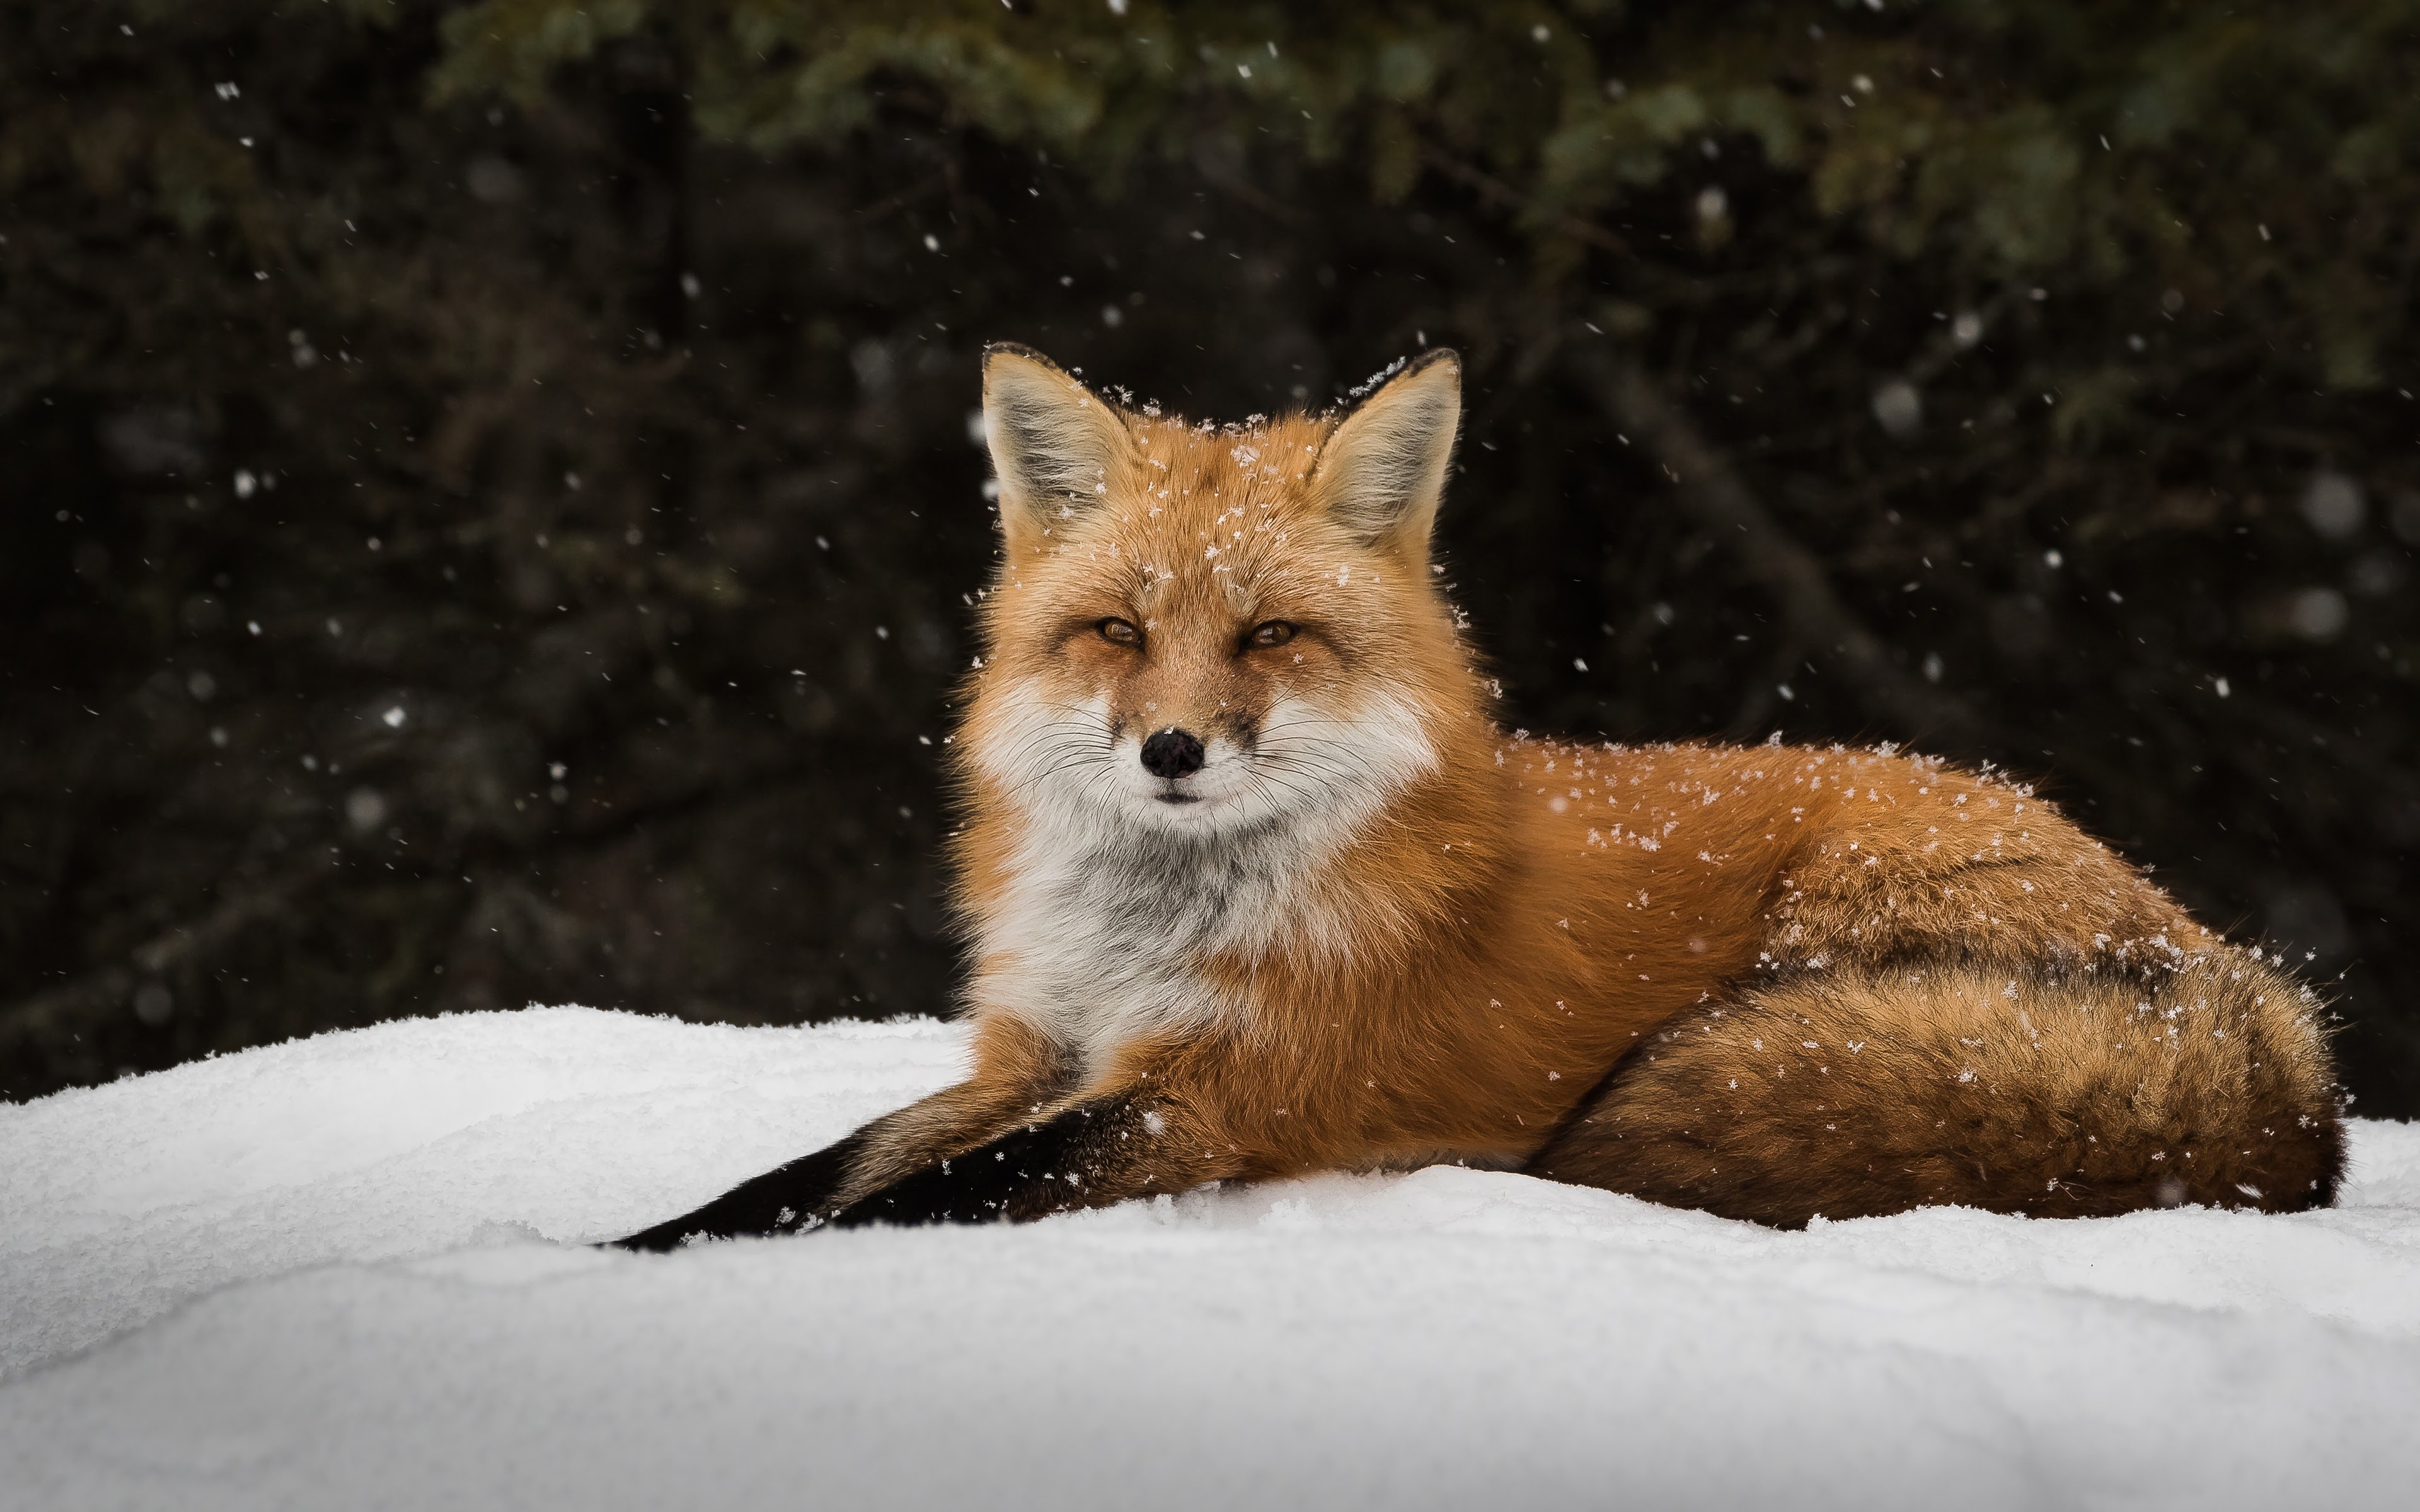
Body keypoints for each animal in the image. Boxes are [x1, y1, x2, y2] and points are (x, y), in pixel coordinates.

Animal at [614, 348, 2332, 1248]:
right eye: (1117, 632)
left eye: (1268, 637)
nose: (1171, 750)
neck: (1152, 930)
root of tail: (2268, 1026)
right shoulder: (1034, 1051)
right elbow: (807, 1173)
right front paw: (616, 1245)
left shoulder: (1215, 1098)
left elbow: (903, 1202)